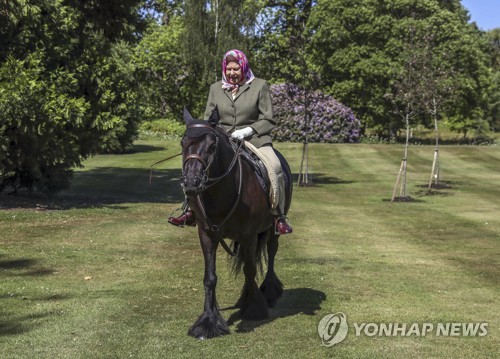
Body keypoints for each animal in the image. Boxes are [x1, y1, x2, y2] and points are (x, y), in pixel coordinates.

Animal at [182, 108, 292, 338]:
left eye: (212, 146)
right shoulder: (206, 234)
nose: (191, 183)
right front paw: (208, 321)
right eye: (182, 143)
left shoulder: (249, 235)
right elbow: (210, 277)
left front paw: (254, 309)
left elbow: (250, 271)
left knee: (271, 253)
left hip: (272, 229)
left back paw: (268, 292)